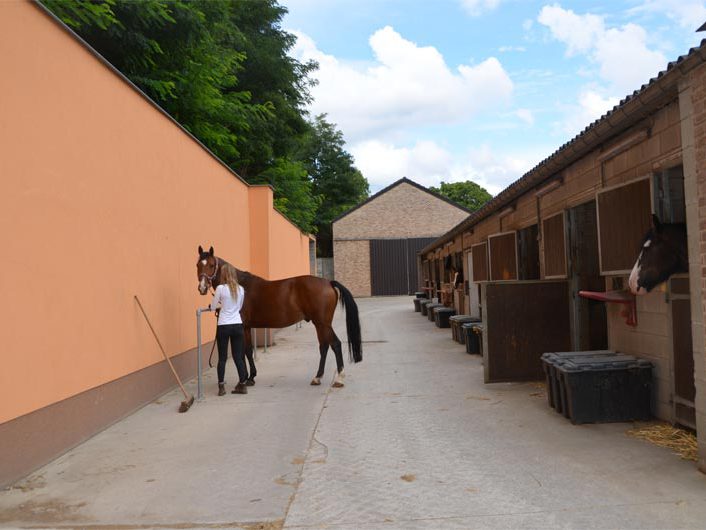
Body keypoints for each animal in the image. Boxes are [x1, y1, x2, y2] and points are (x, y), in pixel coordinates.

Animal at [197, 245, 364, 386]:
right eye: (198, 265)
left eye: (211, 265)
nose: (202, 288)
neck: (238, 285)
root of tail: (328, 282)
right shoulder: (247, 327)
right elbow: (248, 351)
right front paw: (251, 377)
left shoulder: (243, 327)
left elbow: (245, 351)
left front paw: (248, 379)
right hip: (319, 324)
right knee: (324, 346)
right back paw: (317, 377)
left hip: (324, 323)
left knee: (335, 344)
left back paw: (339, 378)